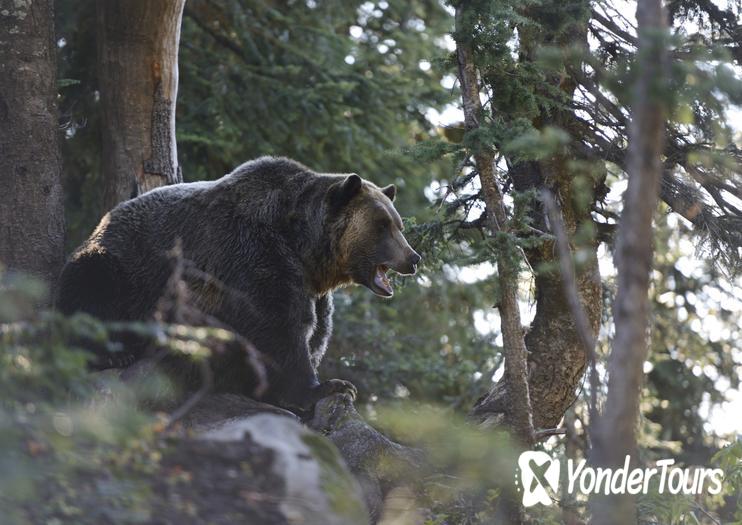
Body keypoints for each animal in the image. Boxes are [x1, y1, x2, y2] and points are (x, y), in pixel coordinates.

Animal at [57, 156, 422, 410]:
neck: (305, 248)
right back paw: (111, 354)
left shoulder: (311, 287)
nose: (414, 257)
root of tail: (104, 219)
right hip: (123, 267)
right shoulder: (255, 255)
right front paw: (327, 386)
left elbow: (316, 331)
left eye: (398, 224)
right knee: (90, 292)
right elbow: (279, 328)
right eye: (382, 225)